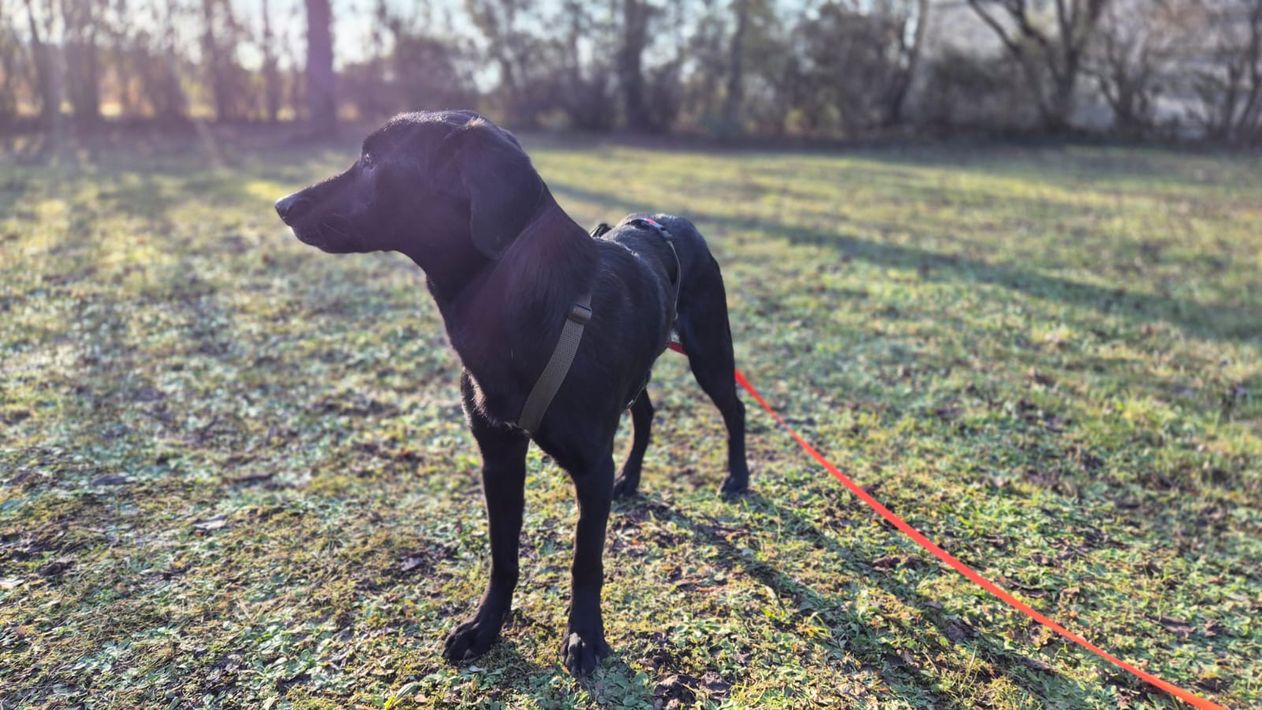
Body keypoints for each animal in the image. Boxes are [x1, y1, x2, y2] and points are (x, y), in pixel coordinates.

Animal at [274, 110, 749, 676]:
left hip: (710, 353)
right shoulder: (498, 455)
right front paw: (485, 627)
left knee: (735, 407)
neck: (517, 297)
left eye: (371, 160)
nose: (282, 205)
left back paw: (737, 477)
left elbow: (585, 560)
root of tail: (674, 221)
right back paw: (632, 479)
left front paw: (585, 635)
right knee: (647, 412)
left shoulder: (590, 467)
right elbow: (503, 553)